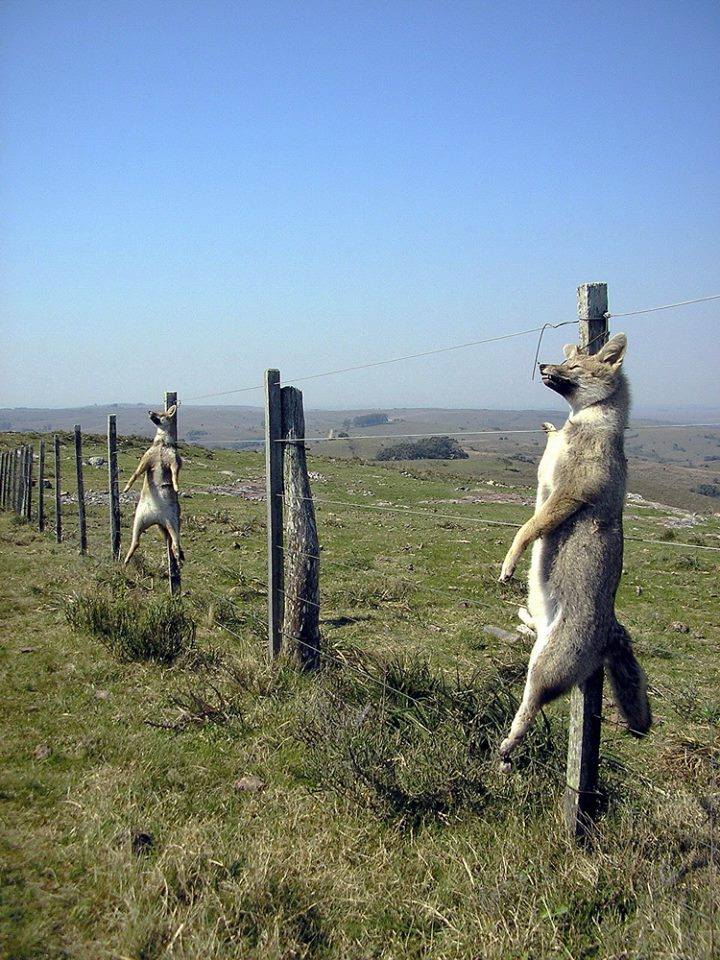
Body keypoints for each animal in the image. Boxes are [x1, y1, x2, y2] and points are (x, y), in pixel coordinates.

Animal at [123, 406, 184, 566]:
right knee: (136, 542)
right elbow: (135, 475)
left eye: (161, 413)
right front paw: (126, 488)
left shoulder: (174, 462)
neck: (162, 443)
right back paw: (126, 559)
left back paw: (178, 558)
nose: (149, 411)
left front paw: (176, 486)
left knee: (175, 543)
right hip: (138, 522)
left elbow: (175, 475)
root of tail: (157, 517)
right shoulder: (146, 460)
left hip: (173, 523)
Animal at [497, 333, 650, 766]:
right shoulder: (544, 485)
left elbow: (526, 530)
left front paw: (510, 562)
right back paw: (524, 619)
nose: (544, 366)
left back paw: (508, 745)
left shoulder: (566, 494)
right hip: (539, 650)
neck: (584, 421)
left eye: (575, 367)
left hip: (544, 670)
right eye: (566, 361)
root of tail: (612, 628)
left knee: (530, 707)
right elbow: (531, 516)